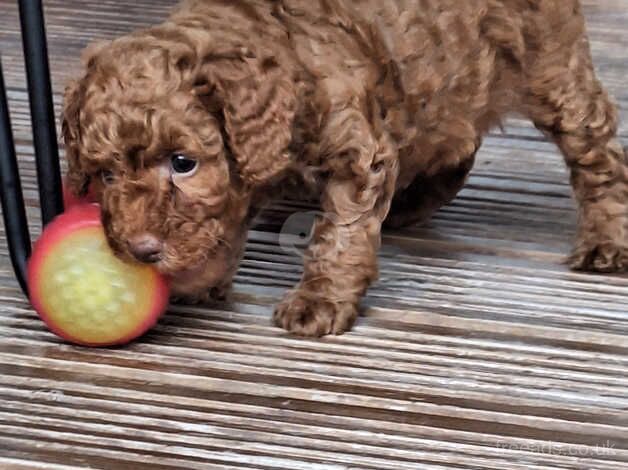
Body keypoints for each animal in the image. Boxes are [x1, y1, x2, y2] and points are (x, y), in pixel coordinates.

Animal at [62, 0, 628, 338]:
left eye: (183, 163)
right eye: (105, 175)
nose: (140, 251)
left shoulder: (358, 154)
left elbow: (340, 236)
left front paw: (319, 301)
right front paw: (206, 276)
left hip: (552, 67)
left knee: (597, 153)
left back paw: (607, 242)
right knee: (456, 138)